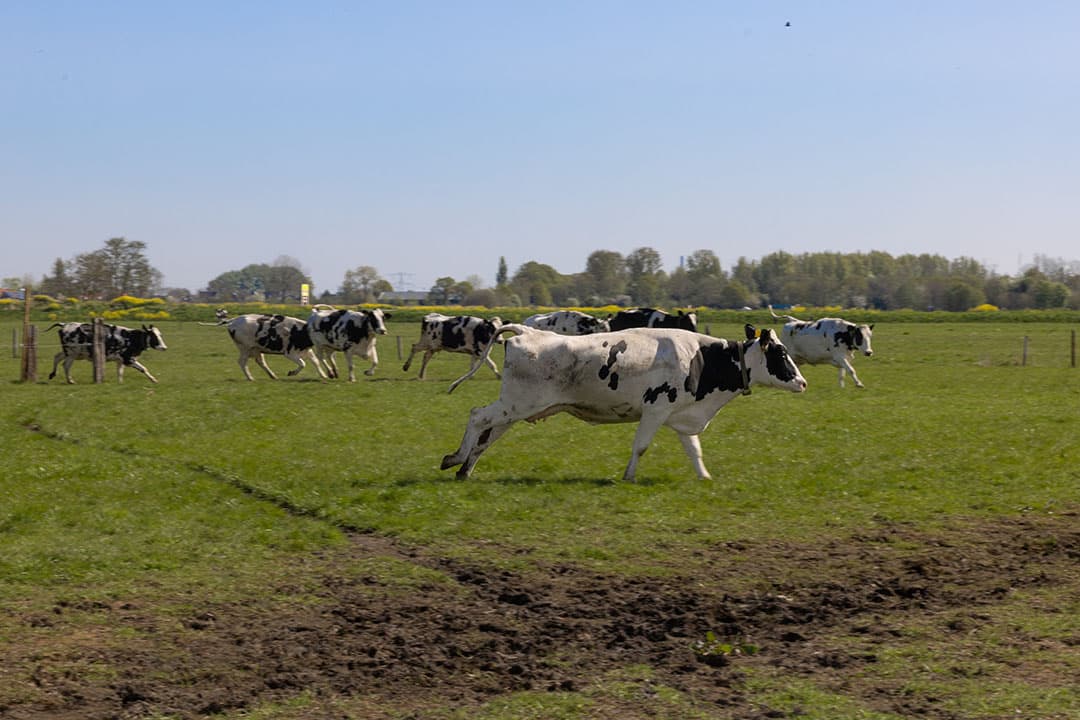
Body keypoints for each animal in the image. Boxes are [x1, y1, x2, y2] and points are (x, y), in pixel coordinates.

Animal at [442, 324, 806, 481]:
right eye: (780, 353)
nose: (803, 382)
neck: (699, 358)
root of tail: (528, 331)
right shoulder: (656, 409)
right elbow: (640, 446)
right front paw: (629, 476)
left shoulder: (681, 415)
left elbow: (694, 450)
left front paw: (705, 478)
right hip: (517, 405)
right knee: (477, 417)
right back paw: (455, 458)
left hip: (514, 410)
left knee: (486, 436)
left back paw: (464, 469)